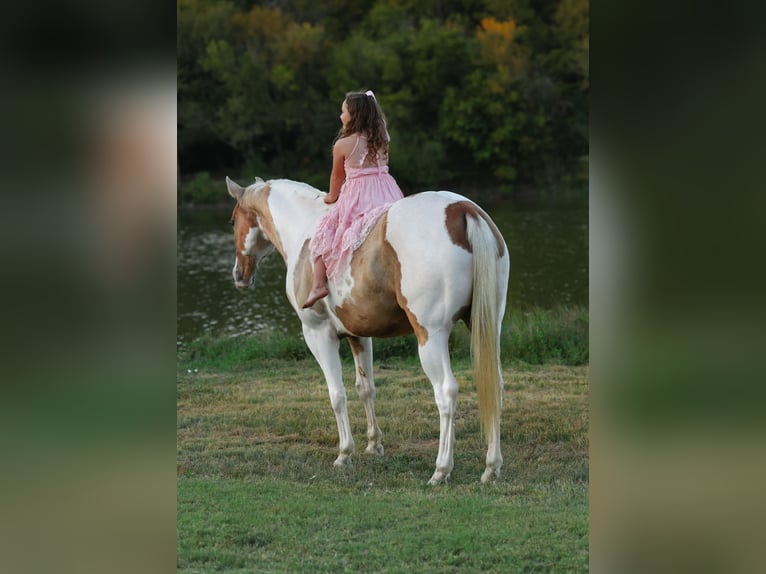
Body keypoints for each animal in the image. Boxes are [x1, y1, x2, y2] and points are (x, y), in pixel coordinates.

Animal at [226, 176, 510, 484]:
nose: (238, 275)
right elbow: (366, 388)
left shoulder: (318, 335)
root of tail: (460, 209)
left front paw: (344, 454)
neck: (306, 228)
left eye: (233, 220)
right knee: (495, 386)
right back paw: (491, 467)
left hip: (430, 338)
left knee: (446, 393)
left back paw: (441, 469)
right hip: (489, 328)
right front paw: (374, 445)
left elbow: (337, 395)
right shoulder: (359, 335)